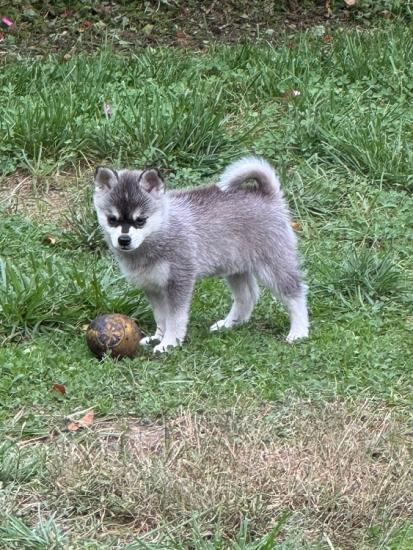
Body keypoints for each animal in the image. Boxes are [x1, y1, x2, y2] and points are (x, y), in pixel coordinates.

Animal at [91, 156, 308, 354]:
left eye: (140, 220)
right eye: (112, 219)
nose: (124, 240)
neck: (162, 229)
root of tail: (267, 194)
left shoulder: (179, 280)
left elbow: (175, 318)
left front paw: (169, 343)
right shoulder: (151, 286)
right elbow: (161, 316)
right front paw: (157, 337)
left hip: (273, 264)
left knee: (295, 294)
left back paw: (299, 331)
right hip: (235, 266)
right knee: (246, 297)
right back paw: (229, 324)